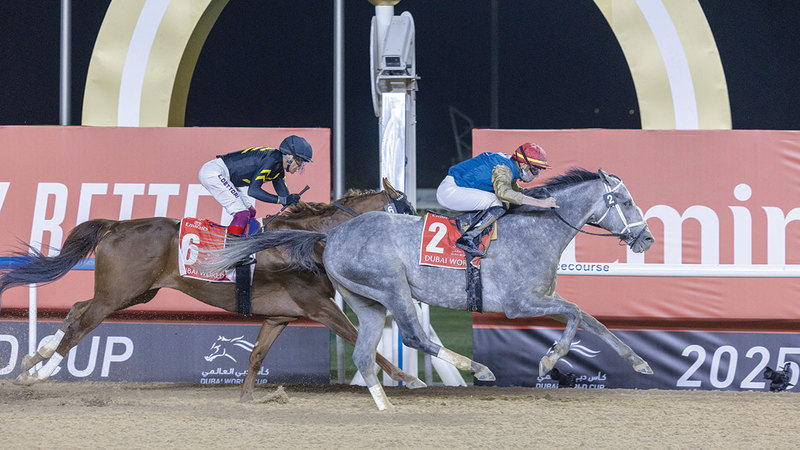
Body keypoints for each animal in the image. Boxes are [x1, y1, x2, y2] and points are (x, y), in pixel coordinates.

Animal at [0, 178, 426, 401]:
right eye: (408, 211)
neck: (307, 242)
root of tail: (117, 225)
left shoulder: (279, 315)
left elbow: (255, 355)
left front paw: (247, 397)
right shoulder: (319, 307)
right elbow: (360, 338)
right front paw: (409, 378)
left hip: (134, 292)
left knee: (76, 308)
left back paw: (33, 359)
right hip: (118, 293)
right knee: (82, 323)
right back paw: (41, 372)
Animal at [207, 168, 656, 410]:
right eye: (626, 201)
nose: (647, 239)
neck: (536, 229)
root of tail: (330, 235)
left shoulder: (540, 297)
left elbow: (593, 321)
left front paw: (638, 362)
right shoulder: (520, 301)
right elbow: (578, 315)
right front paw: (549, 362)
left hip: (366, 300)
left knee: (365, 351)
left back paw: (387, 404)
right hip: (392, 288)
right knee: (413, 336)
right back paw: (474, 369)